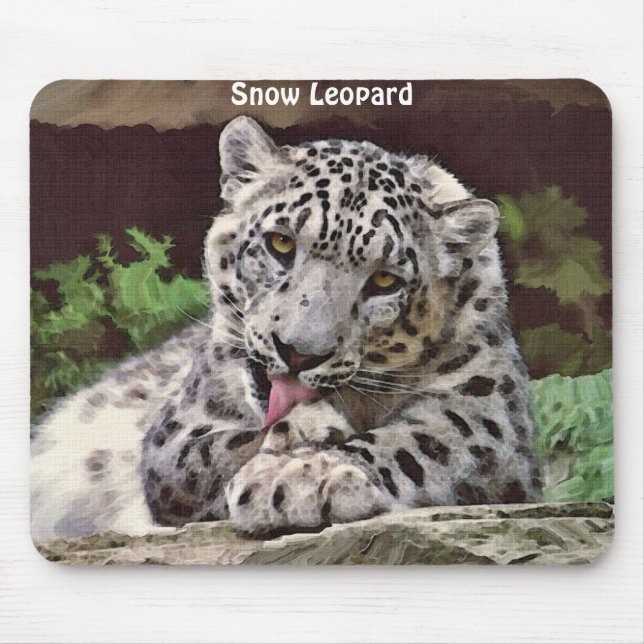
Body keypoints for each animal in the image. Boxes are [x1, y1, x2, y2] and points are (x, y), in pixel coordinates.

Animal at [30, 115, 541, 543]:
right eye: (280, 243)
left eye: (385, 280)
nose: (298, 351)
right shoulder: (176, 433)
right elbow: (218, 449)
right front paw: (298, 450)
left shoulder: (486, 410)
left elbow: (422, 441)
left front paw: (300, 477)